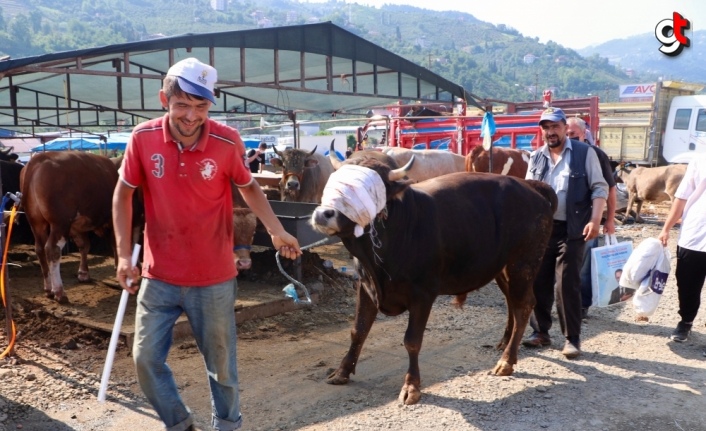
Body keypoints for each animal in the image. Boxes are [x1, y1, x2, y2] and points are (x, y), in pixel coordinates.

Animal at [19, 152, 119, 304]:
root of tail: (39, 158)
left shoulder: (77, 227)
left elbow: (84, 245)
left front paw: (83, 274)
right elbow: (117, 244)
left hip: (36, 222)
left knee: (40, 249)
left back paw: (49, 289)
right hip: (60, 222)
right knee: (52, 250)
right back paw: (60, 292)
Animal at [310, 153, 560, 404]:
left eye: (368, 188)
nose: (323, 214)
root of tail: (530, 186)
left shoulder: (423, 294)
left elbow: (412, 341)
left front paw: (411, 386)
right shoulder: (366, 286)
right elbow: (358, 330)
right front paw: (342, 371)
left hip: (524, 264)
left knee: (524, 305)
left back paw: (507, 361)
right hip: (503, 269)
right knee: (512, 303)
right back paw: (505, 344)